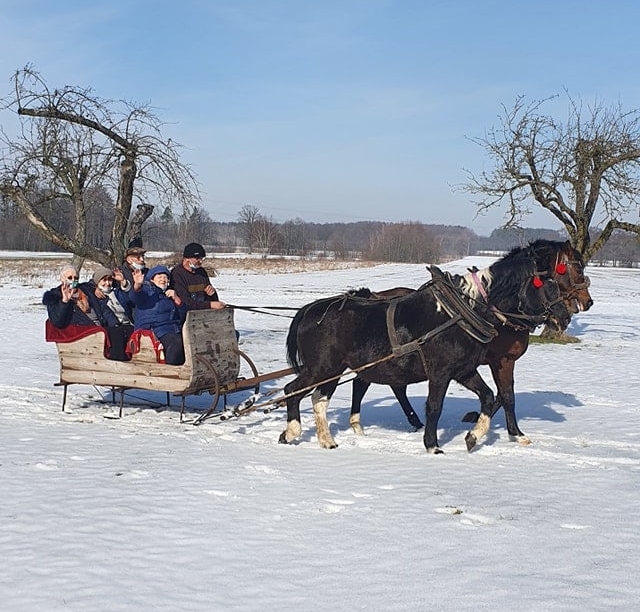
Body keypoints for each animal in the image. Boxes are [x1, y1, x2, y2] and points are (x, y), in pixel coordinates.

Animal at [348, 239, 592, 450]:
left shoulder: (497, 363)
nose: (585, 303)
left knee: (377, 384)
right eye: (577, 269)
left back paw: (409, 422)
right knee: (371, 384)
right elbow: (506, 396)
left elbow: (505, 395)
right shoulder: (500, 360)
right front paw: (485, 424)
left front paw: (510, 432)